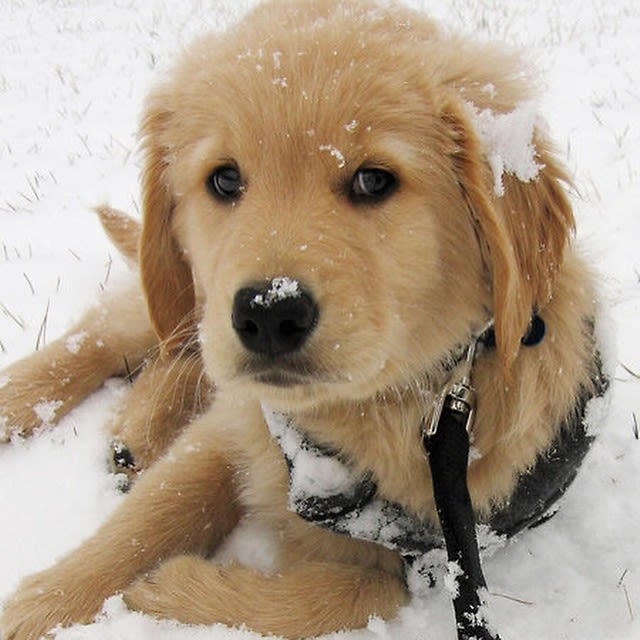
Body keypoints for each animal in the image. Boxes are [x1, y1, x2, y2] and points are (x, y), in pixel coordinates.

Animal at [1, 0, 604, 636]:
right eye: (224, 178)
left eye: (373, 180)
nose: (269, 313)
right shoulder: (239, 420)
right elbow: (156, 510)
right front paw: (47, 604)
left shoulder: (436, 555)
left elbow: (336, 599)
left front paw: (165, 591)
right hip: (187, 291)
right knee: (114, 333)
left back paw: (136, 430)